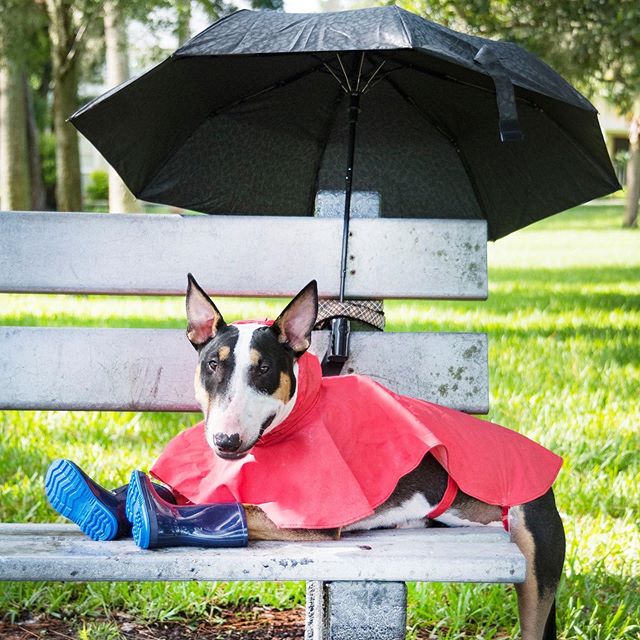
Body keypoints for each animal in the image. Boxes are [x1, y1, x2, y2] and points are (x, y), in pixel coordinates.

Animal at [185, 276, 564, 640]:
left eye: (264, 368)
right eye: (212, 364)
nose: (226, 440)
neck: (298, 416)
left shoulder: (311, 521)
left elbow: (239, 509)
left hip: (535, 562)